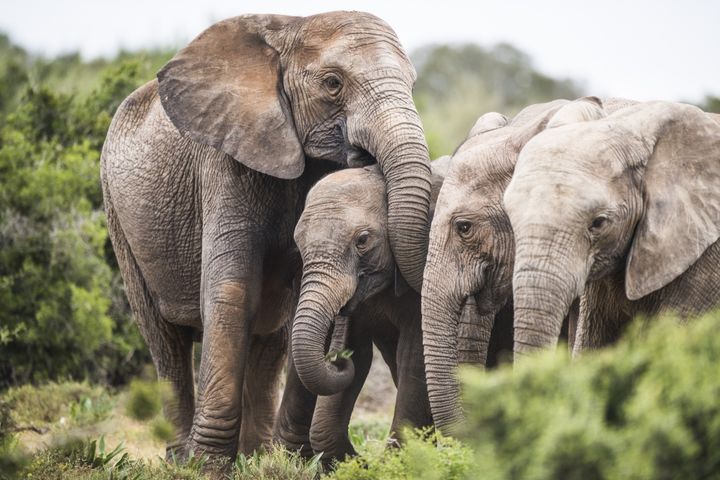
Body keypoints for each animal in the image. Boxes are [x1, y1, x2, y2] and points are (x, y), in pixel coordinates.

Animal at [100, 12, 428, 462]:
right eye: (333, 83)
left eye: (412, 84)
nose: (341, 359)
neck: (290, 29)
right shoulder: (225, 161)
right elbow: (232, 293)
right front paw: (207, 466)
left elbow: (303, 299)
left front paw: (294, 461)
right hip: (118, 216)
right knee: (165, 340)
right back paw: (181, 458)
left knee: (269, 342)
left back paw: (255, 456)